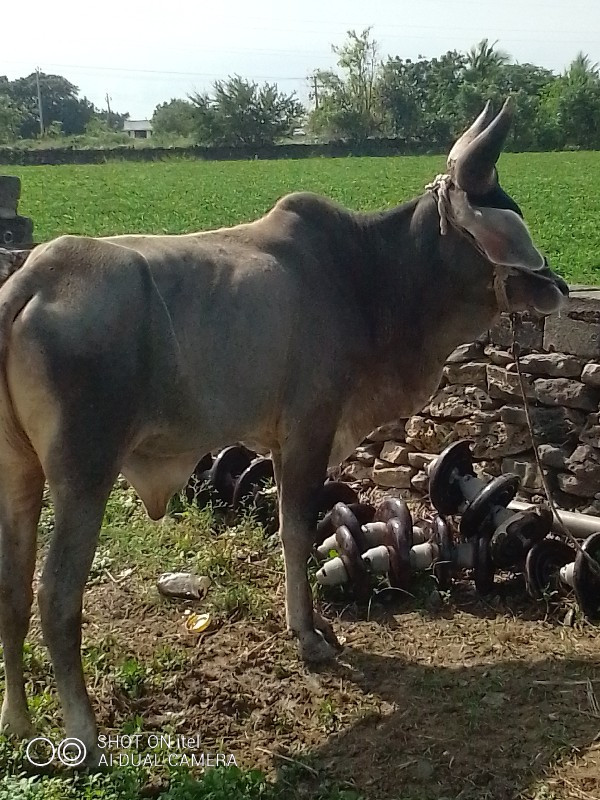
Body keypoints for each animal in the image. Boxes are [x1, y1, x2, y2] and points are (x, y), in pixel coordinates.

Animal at [0, 100, 568, 764]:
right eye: (499, 218)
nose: (556, 286)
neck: (370, 277)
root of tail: (29, 281)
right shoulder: (308, 432)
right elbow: (296, 532)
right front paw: (310, 636)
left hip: (20, 471)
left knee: (13, 587)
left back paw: (18, 722)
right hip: (83, 476)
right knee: (56, 596)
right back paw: (82, 735)